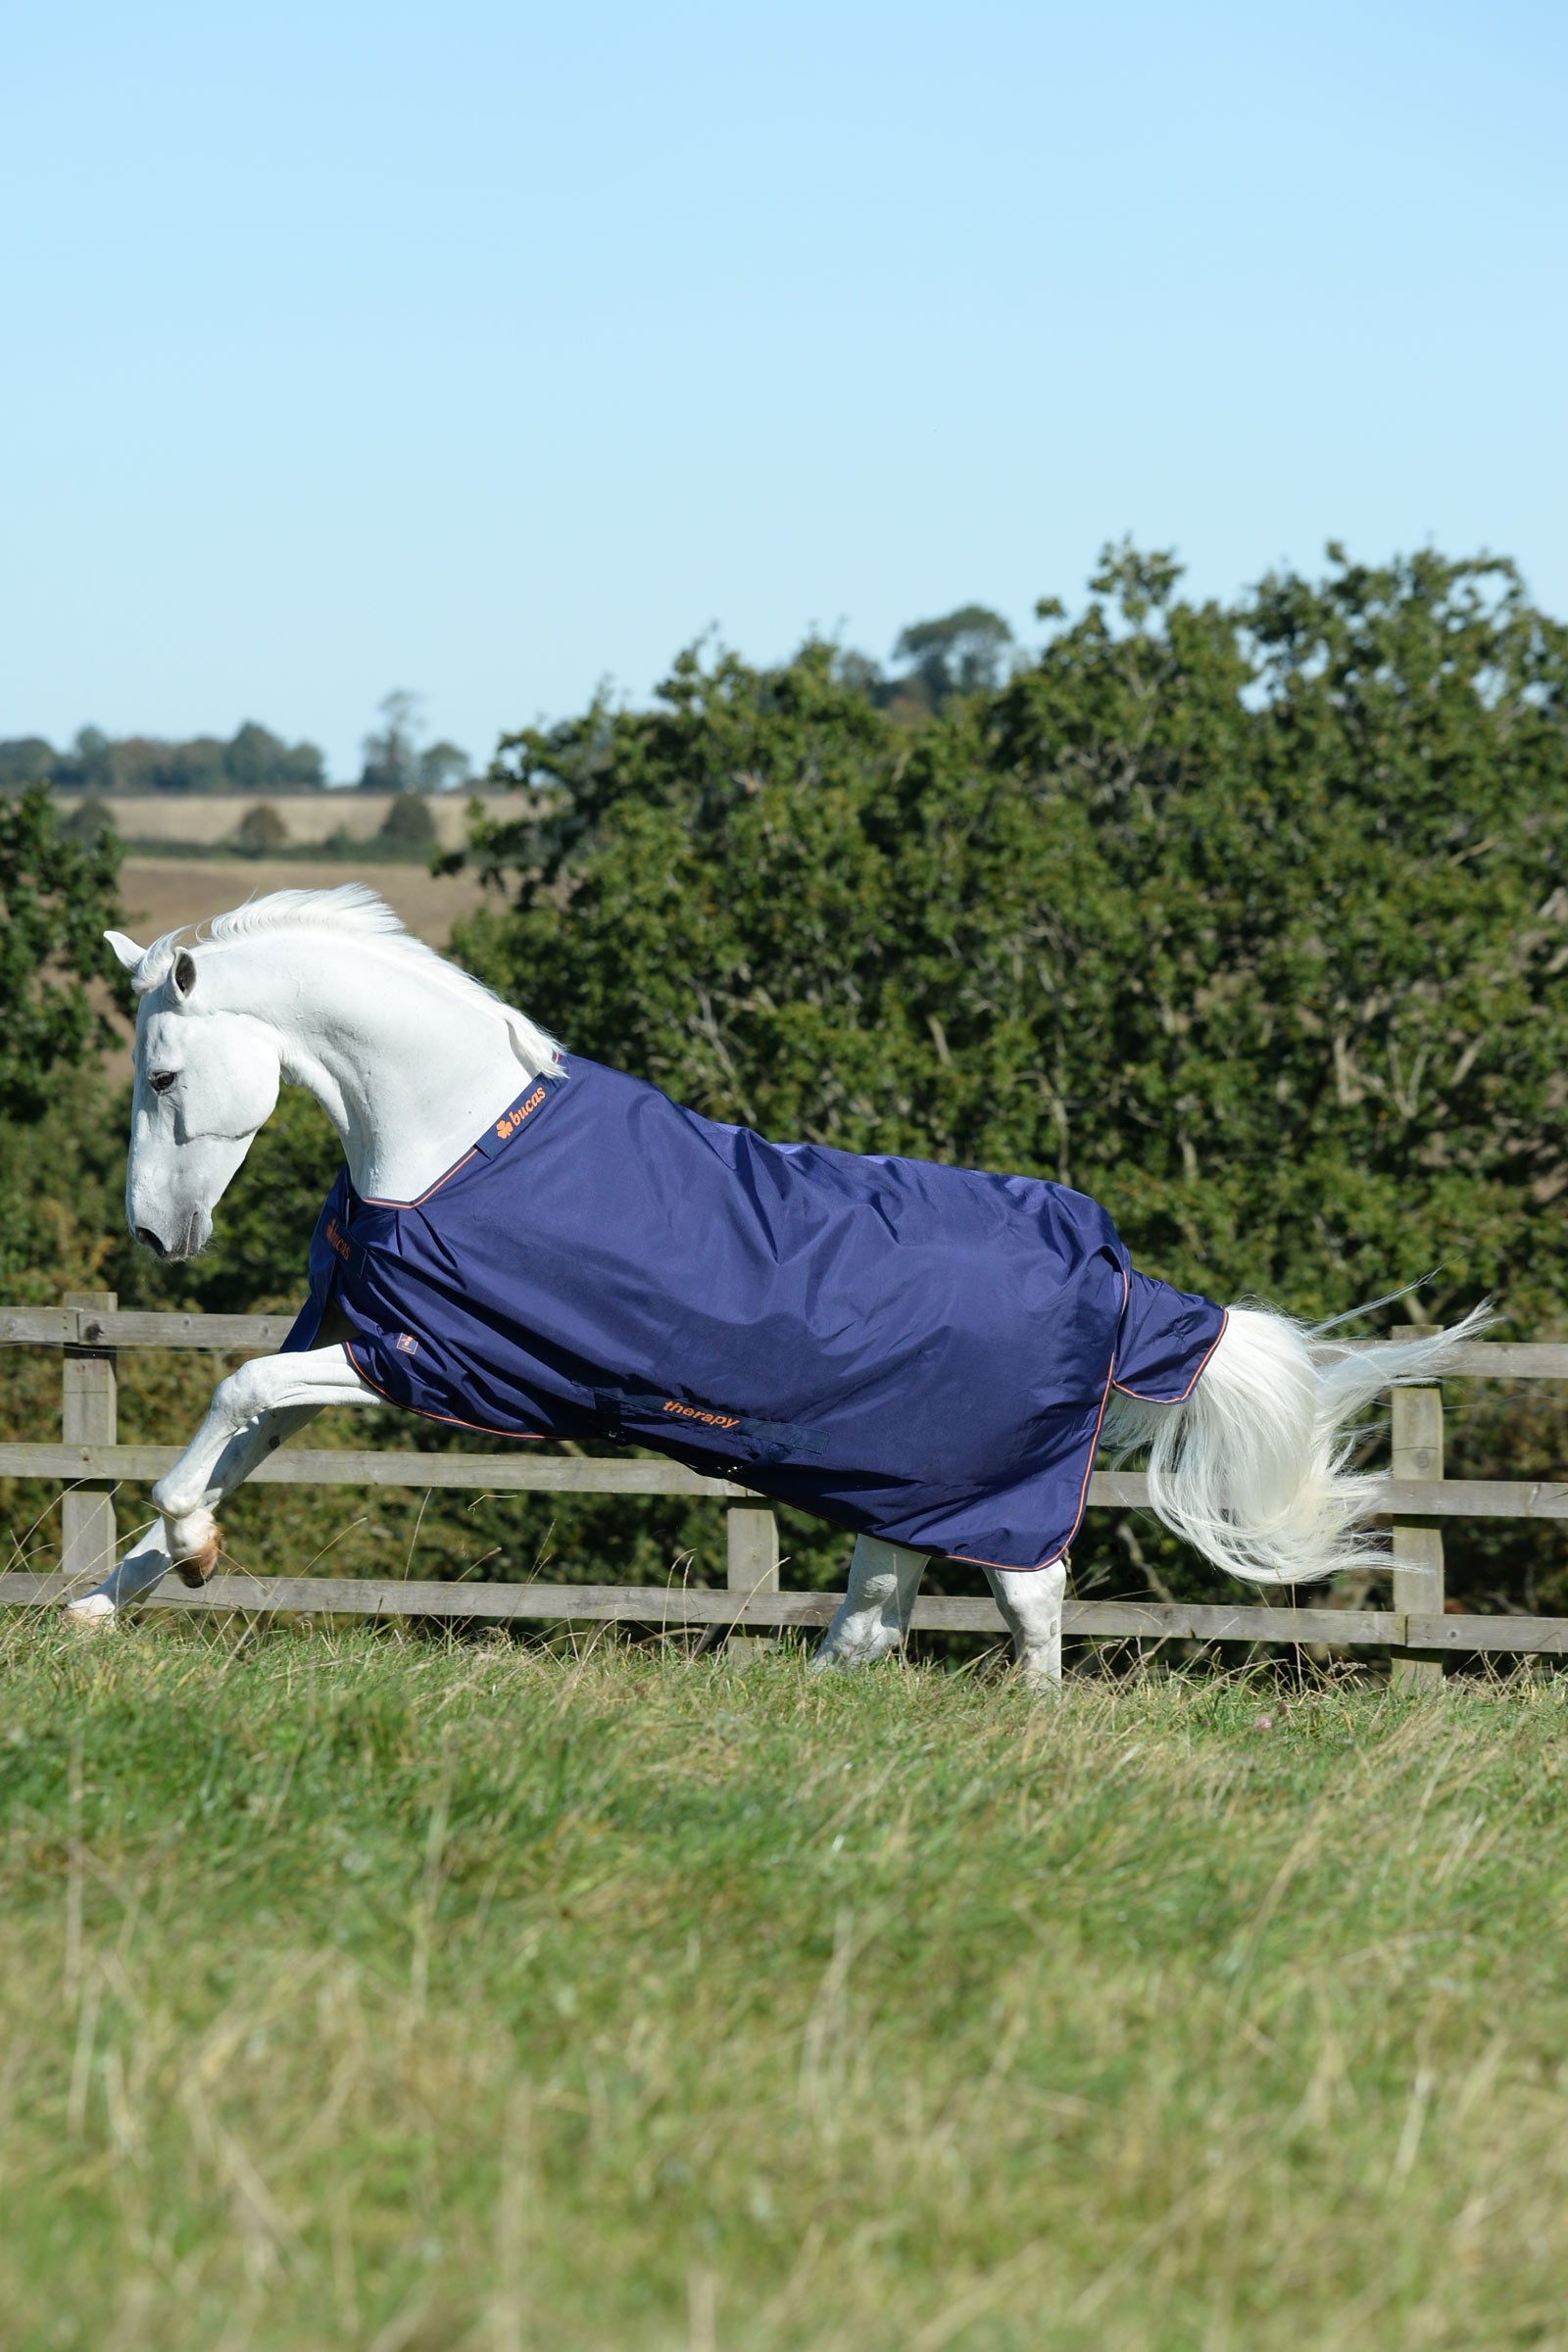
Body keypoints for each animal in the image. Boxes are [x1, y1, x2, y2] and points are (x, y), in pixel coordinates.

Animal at [66, 884, 1482, 1680]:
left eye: (164, 1076)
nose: (153, 1238)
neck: (456, 1143)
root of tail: (1121, 1280)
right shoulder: (356, 1342)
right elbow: (238, 1433)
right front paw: (107, 1600)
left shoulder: (431, 1364)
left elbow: (237, 1398)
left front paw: (183, 1550)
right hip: (904, 1486)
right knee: (873, 1623)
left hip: (988, 1499)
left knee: (1029, 1616)